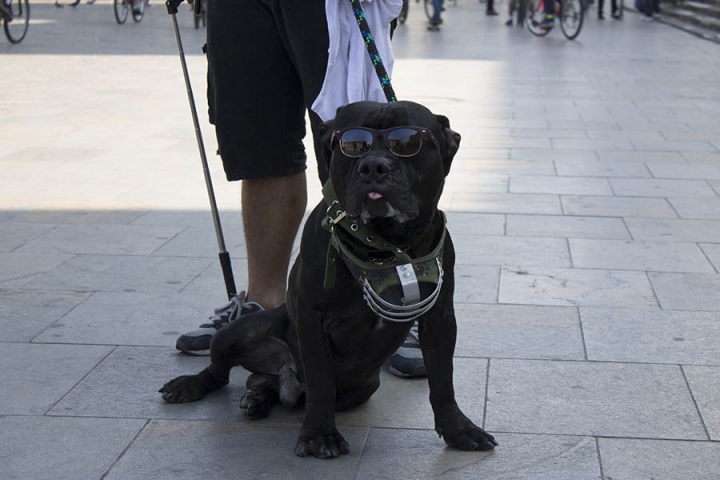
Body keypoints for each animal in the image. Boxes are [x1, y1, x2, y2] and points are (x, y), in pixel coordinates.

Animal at [159, 100, 496, 458]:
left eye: (407, 143)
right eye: (352, 145)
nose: (373, 166)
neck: (385, 245)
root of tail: (285, 375)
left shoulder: (440, 318)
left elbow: (443, 379)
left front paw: (459, 430)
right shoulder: (311, 317)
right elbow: (321, 380)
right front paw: (320, 434)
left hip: (361, 387)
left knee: (275, 389)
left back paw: (258, 397)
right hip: (237, 331)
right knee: (222, 372)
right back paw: (192, 385)